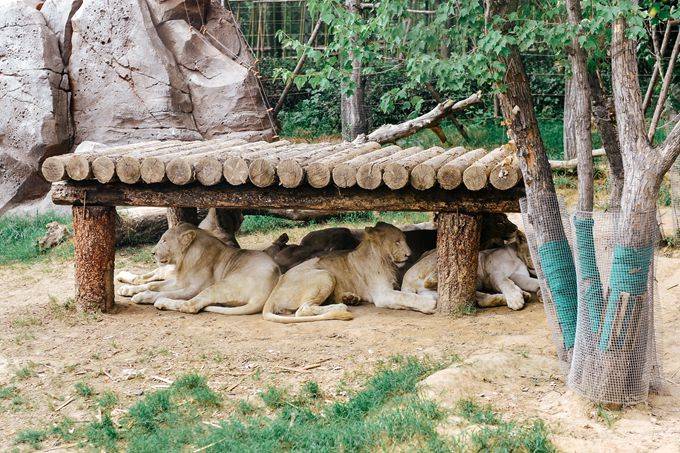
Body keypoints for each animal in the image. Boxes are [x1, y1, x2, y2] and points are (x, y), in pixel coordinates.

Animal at [117, 222, 278, 314]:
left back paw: (163, 302)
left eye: (164, 241)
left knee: (190, 305)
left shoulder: (193, 288)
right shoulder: (179, 281)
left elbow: (164, 292)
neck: (186, 259)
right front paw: (128, 290)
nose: (152, 253)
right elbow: (153, 285)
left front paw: (142, 296)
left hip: (220, 285)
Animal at [260, 222, 436, 322]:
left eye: (405, 240)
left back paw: (350, 298)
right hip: (325, 275)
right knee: (302, 310)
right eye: (397, 242)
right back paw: (341, 307)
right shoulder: (383, 294)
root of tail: (273, 292)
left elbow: (407, 294)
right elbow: (406, 297)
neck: (385, 260)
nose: (409, 254)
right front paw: (430, 304)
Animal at [402, 231, 540, 308]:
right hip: (441, 256)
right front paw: (515, 299)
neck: (517, 257)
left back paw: (522, 295)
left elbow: (530, 282)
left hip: (437, 294)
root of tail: (405, 281)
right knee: (434, 277)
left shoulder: (518, 275)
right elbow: (506, 282)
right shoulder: (495, 273)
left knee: (481, 300)